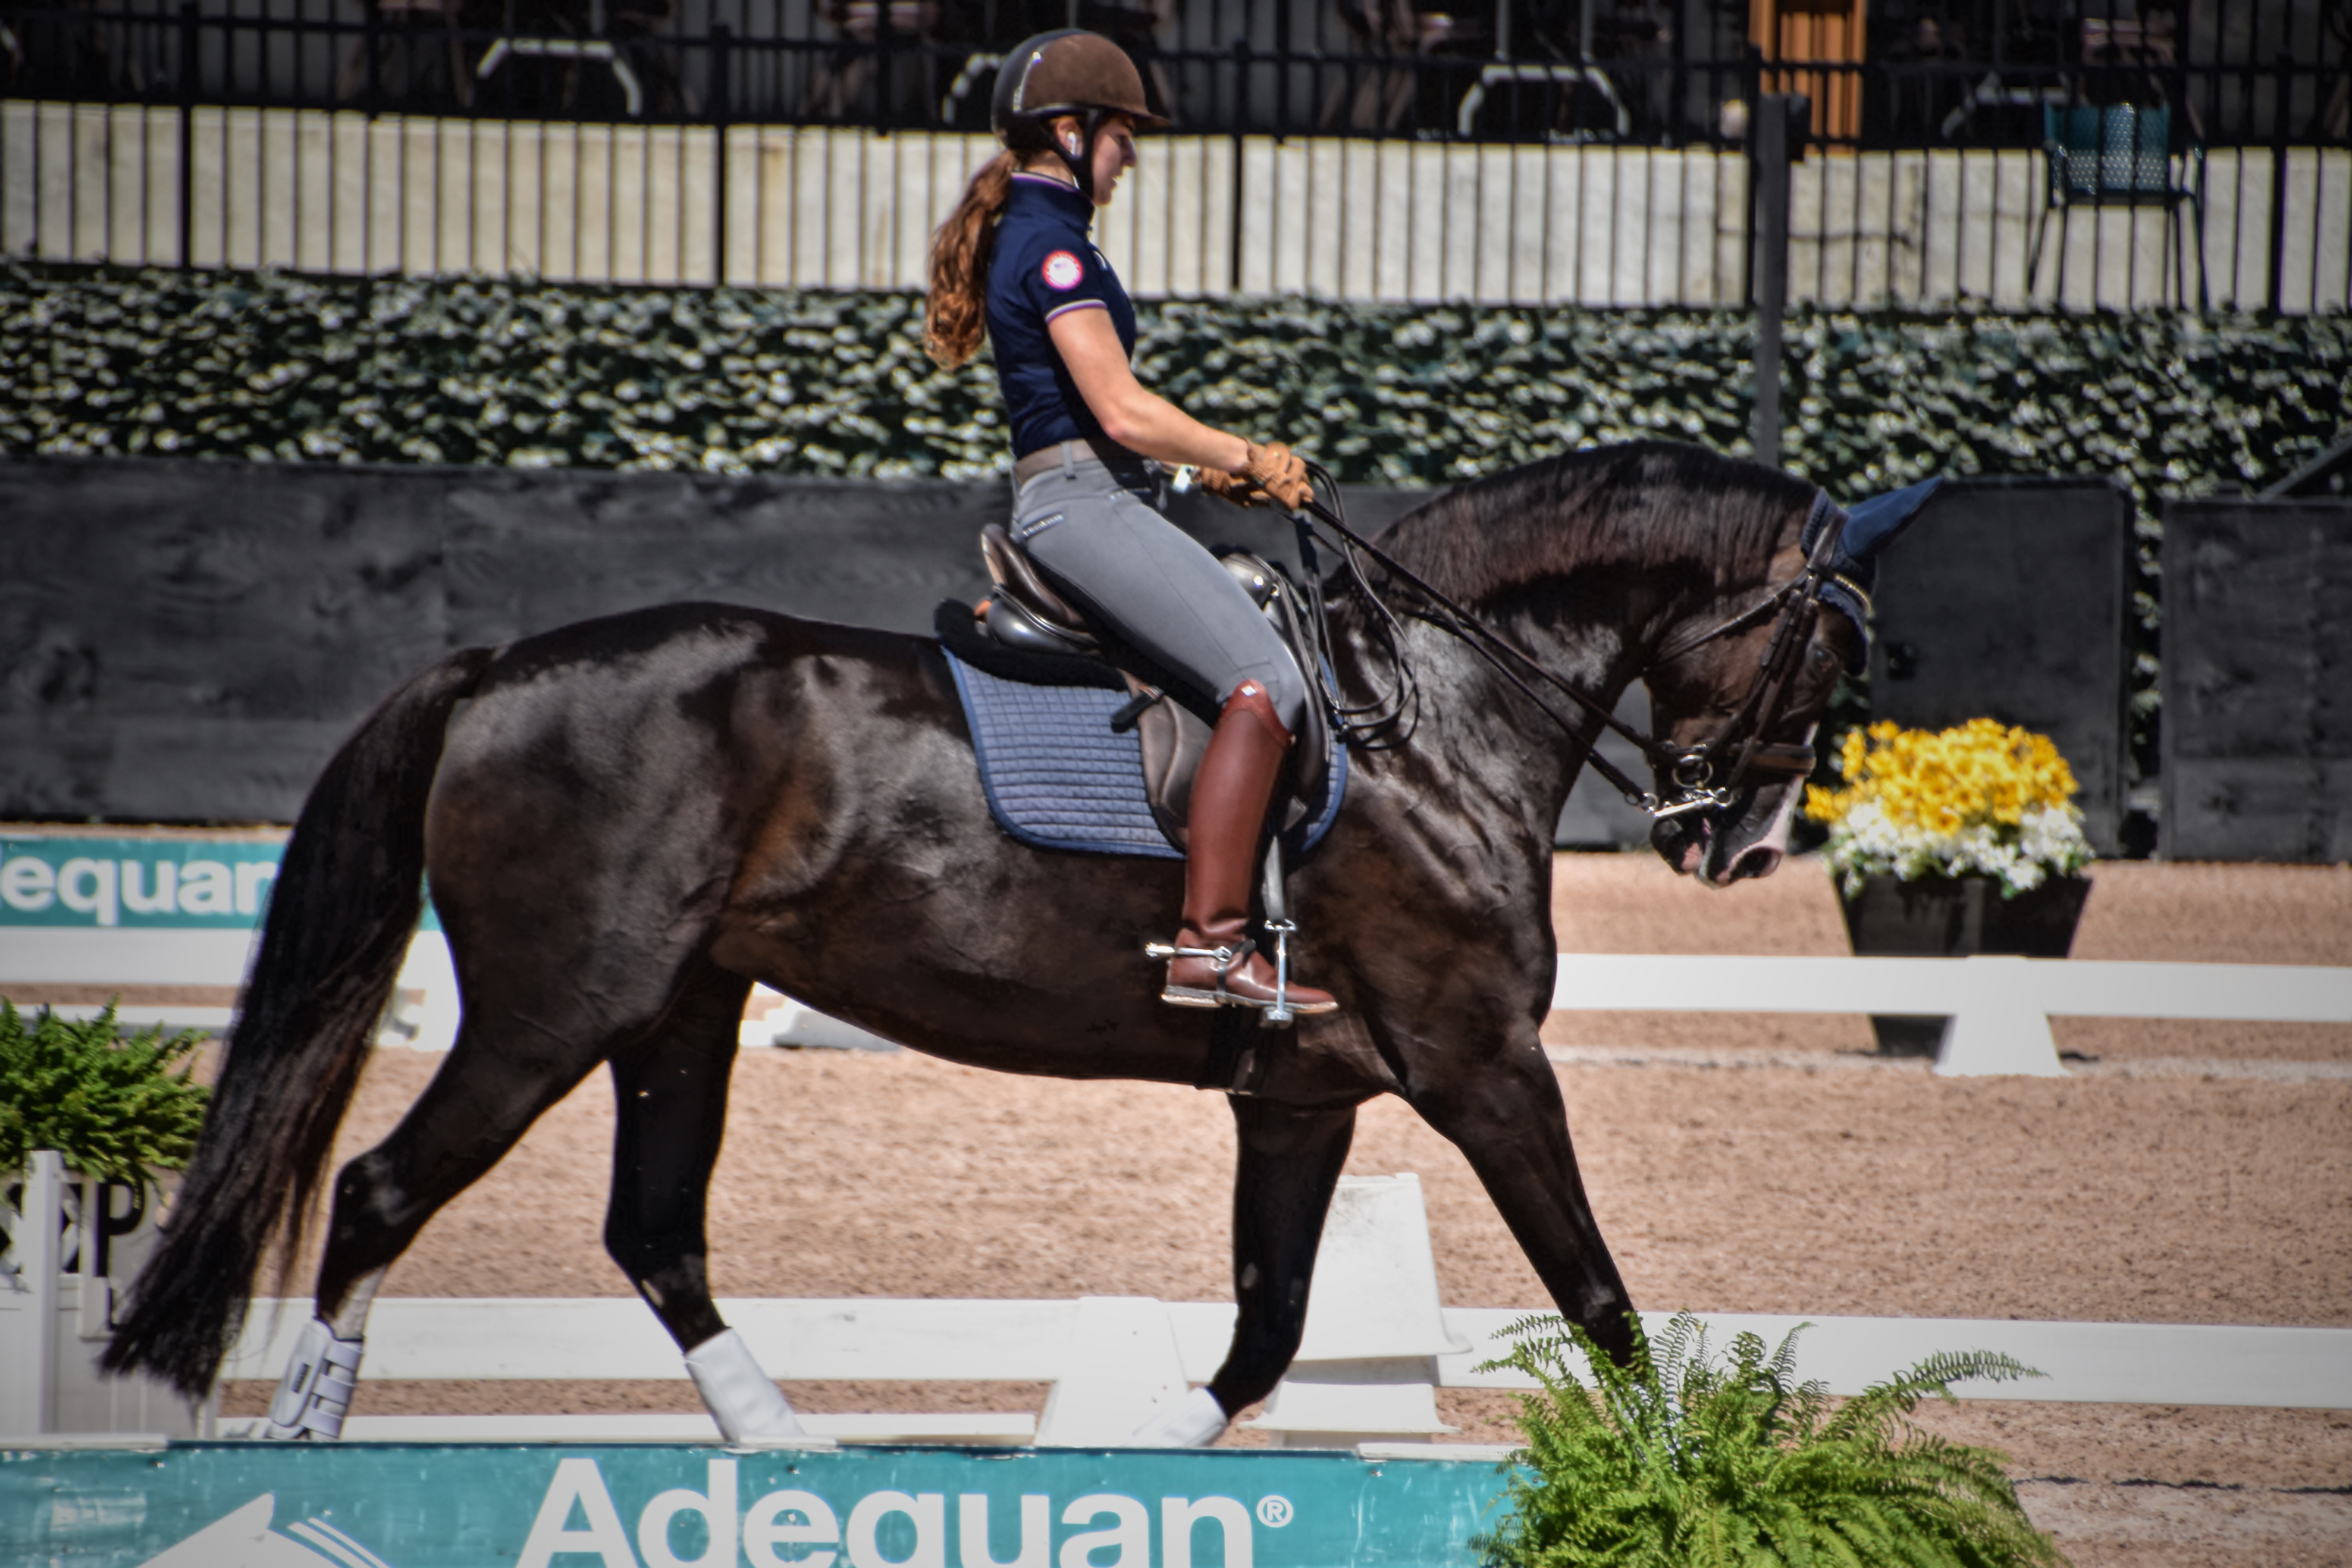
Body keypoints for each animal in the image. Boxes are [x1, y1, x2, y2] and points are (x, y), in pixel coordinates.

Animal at [114, 435, 1910, 1439]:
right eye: (1829, 657)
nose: (1738, 845)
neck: (1436, 714)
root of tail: (497, 668)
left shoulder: (1307, 1093)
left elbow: (1266, 1328)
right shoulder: (1483, 1063)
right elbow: (1600, 1300)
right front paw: (1689, 1478)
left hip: (683, 1009)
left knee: (657, 1235)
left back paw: (791, 1458)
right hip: (556, 1010)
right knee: (380, 1193)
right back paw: (299, 1458)